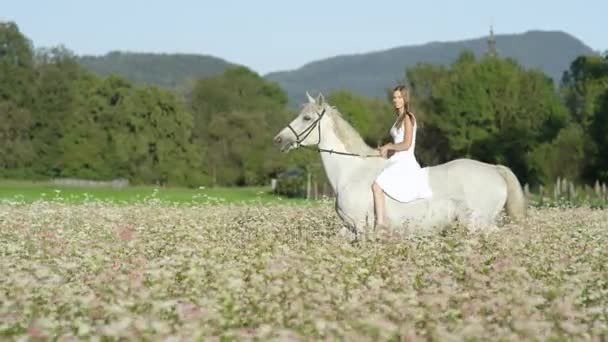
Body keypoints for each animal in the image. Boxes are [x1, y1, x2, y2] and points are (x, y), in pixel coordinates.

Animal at [274, 93, 524, 236]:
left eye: (307, 118)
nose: (278, 140)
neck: (350, 172)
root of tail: (494, 169)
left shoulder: (360, 227)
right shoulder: (348, 228)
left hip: (479, 223)